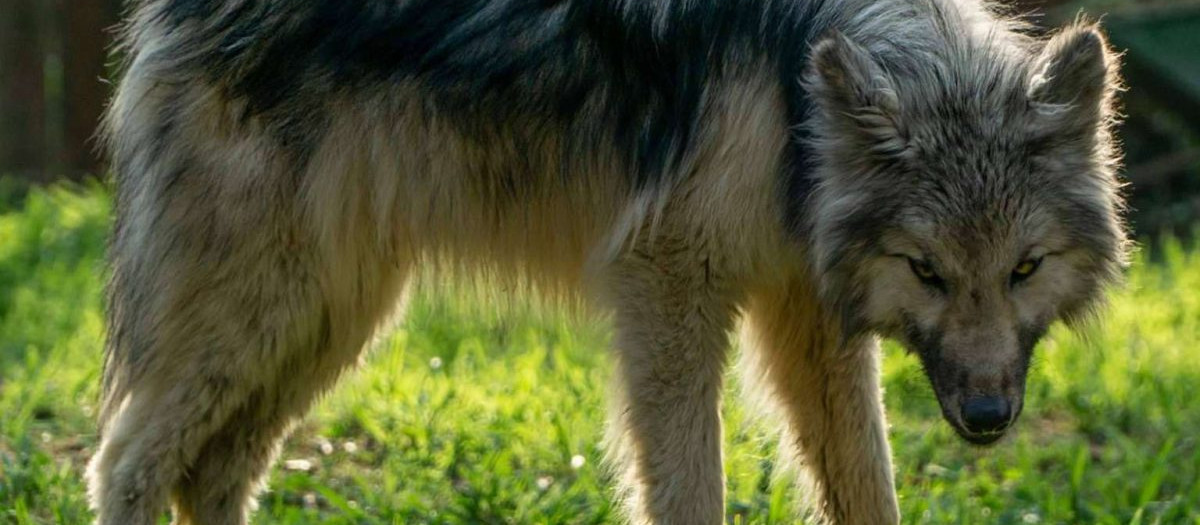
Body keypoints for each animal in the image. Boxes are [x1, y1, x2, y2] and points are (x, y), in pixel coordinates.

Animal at [87, 0, 1126, 523]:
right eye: (929, 270)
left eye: (1024, 268)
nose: (988, 417)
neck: (796, 92)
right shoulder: (669, 285)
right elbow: (691, 490)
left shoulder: (810, 313)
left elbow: (869, 489)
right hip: (266, 314)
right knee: (127, 463)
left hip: (324, 325)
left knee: (210, 473)